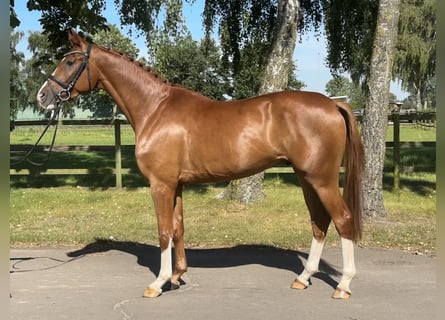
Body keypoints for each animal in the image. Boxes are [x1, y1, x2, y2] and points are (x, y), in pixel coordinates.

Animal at [37, 30, 364, 300]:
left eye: (70, 62)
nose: (43, 96)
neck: (155, 109)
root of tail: (332, 103)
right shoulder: (177, 185)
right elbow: (178, 228)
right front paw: (178, 276)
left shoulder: (160, 185)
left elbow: (164, 231)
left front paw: (158, 283)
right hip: (307, 178)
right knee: (319, 222)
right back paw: (303, 278)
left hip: (321, 179)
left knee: (343, 219)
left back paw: (344, 285)